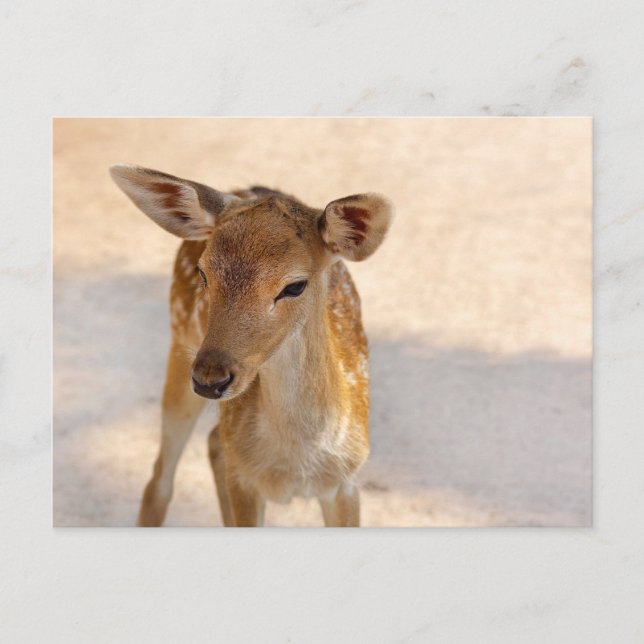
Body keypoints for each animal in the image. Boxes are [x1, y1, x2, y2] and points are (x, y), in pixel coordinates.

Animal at [110, 164, 393, 527]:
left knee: (213, 443)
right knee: (160, 478)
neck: (295, 465)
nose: (209, 379)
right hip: (179, 344)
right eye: (203, 273)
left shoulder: (347, 481)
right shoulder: (245, 480)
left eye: (295, 286)